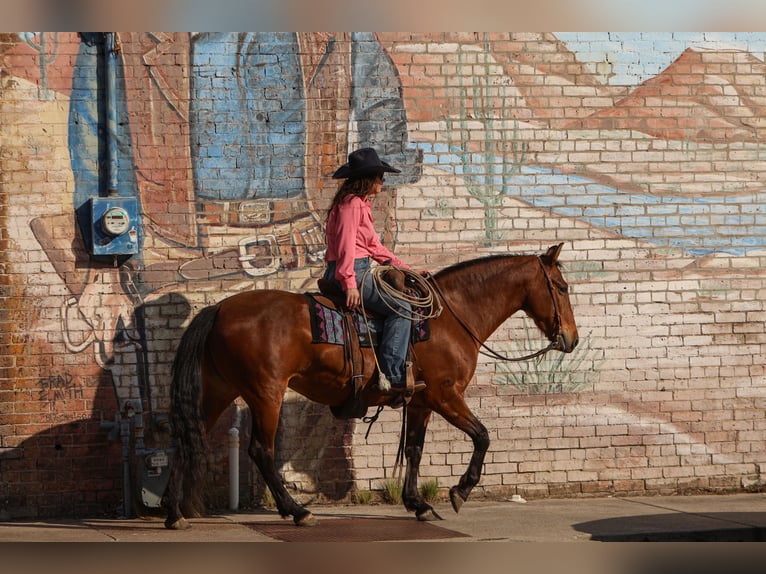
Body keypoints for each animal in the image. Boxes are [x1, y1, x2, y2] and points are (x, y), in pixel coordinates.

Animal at [165, 243, 580, 532]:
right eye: (561, 287)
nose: (572, 339)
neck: (449, 318)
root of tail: (218, 309)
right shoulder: (446, 394)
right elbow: (482, 435)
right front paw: (460, 491)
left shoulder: (422, 400)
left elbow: (414, 450)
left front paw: (418, 504)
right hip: (266, 393)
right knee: (261, 451)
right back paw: (297, 512)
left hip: (219, 390)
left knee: (187, 438)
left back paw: (175, 513)